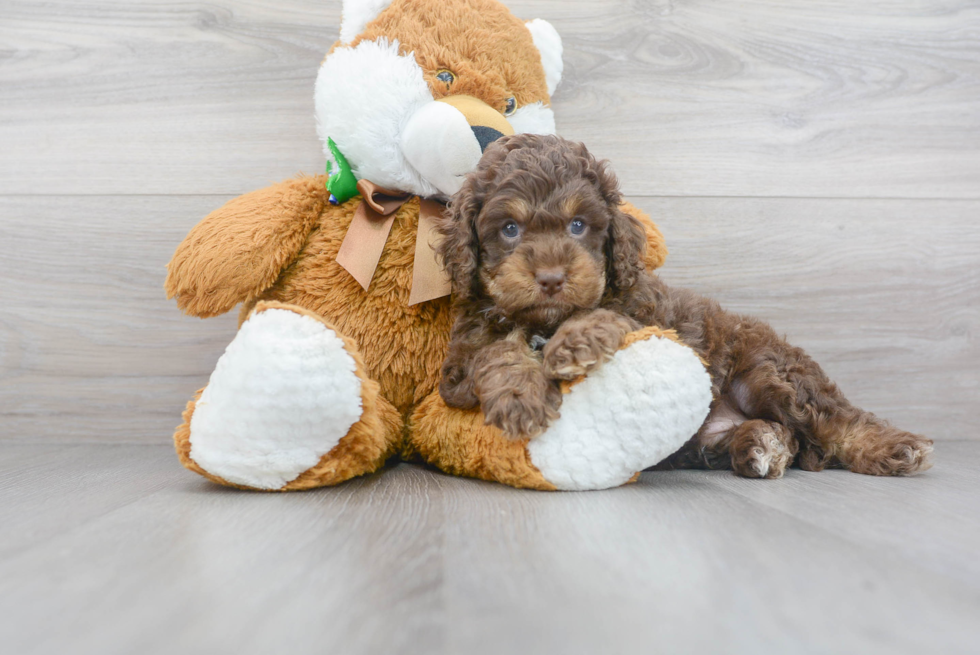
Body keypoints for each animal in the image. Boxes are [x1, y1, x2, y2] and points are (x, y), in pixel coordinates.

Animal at [436, 135, 936, 482]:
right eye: (510, 229)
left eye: (578, 225)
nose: (552, 278)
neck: (544, 320)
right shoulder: (461, 363)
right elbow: (497, 351)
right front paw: (521, 395)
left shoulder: (644, 311)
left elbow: (602, 313)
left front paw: (573, 343)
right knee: (787, 437)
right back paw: (762, 446)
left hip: (769, 372)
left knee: (831, 419)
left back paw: (896, 447)